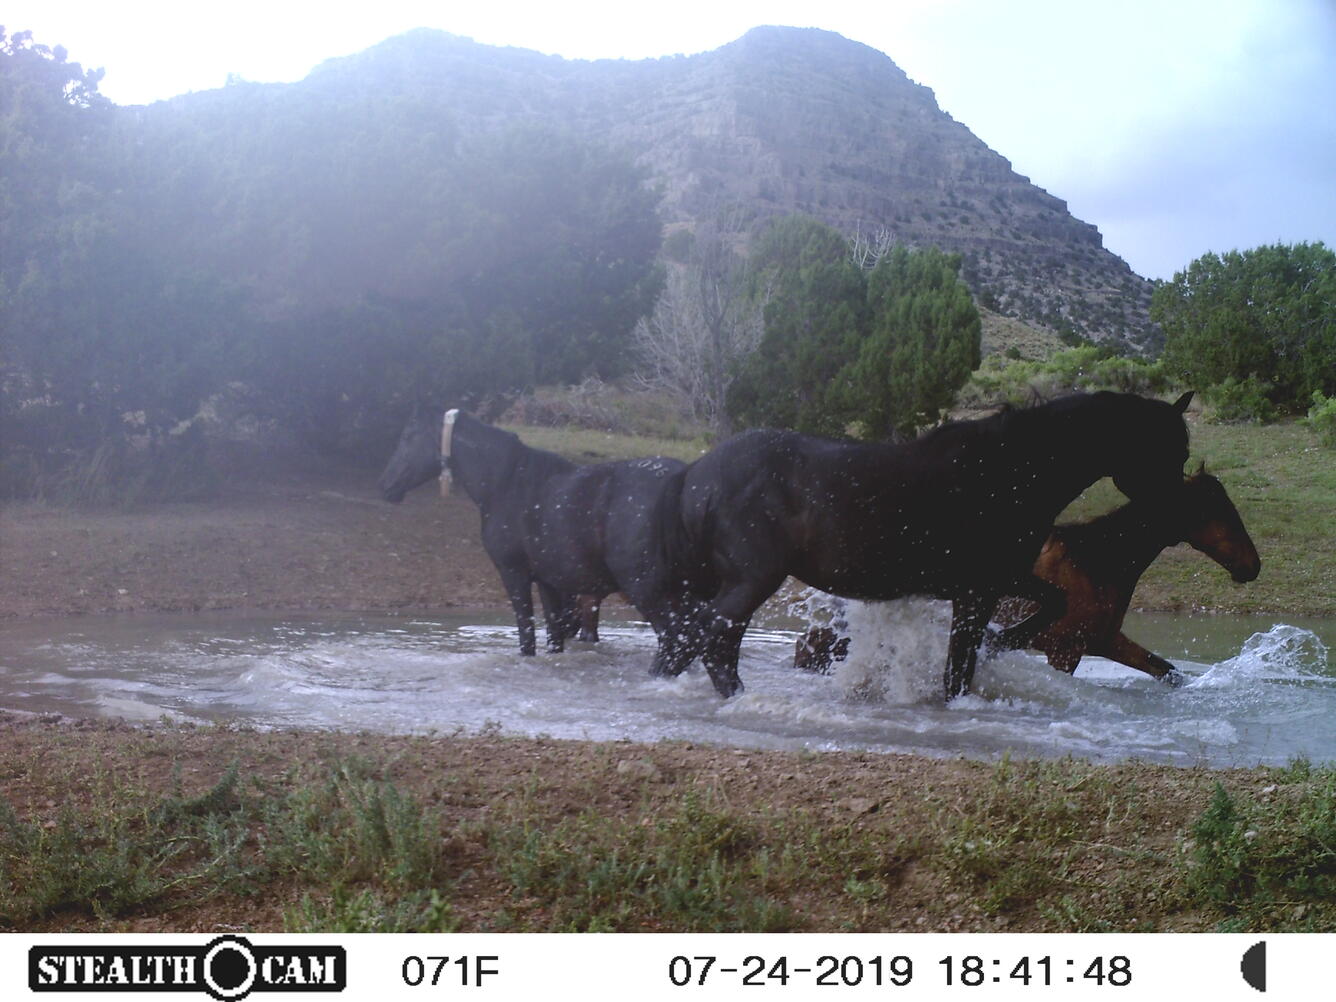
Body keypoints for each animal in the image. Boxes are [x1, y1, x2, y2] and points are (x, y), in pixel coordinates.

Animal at [377, 407, 687, 657]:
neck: (508, 483)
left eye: (408, 436)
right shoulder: (548, 582)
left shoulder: (514, 574)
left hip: (645, 589)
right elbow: (554, 637)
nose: (385, 485)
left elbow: (527, 636)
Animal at [656, 391, 1194, 701]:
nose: (1173, 518)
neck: (1012, 471)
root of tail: (697, 476)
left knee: (701, 641)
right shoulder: (978, 591)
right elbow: (958, 670)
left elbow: (1051, 603)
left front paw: (1004, 642)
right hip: (752, 579)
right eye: (1169, 449)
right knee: (705, 638)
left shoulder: (1001, 579)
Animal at [795, 470, 1260, 684]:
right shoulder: (1066, 649)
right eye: (1217, 511)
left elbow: (1168, 672)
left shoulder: (1104, 641)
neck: (1100, 562)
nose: (1252, 565)